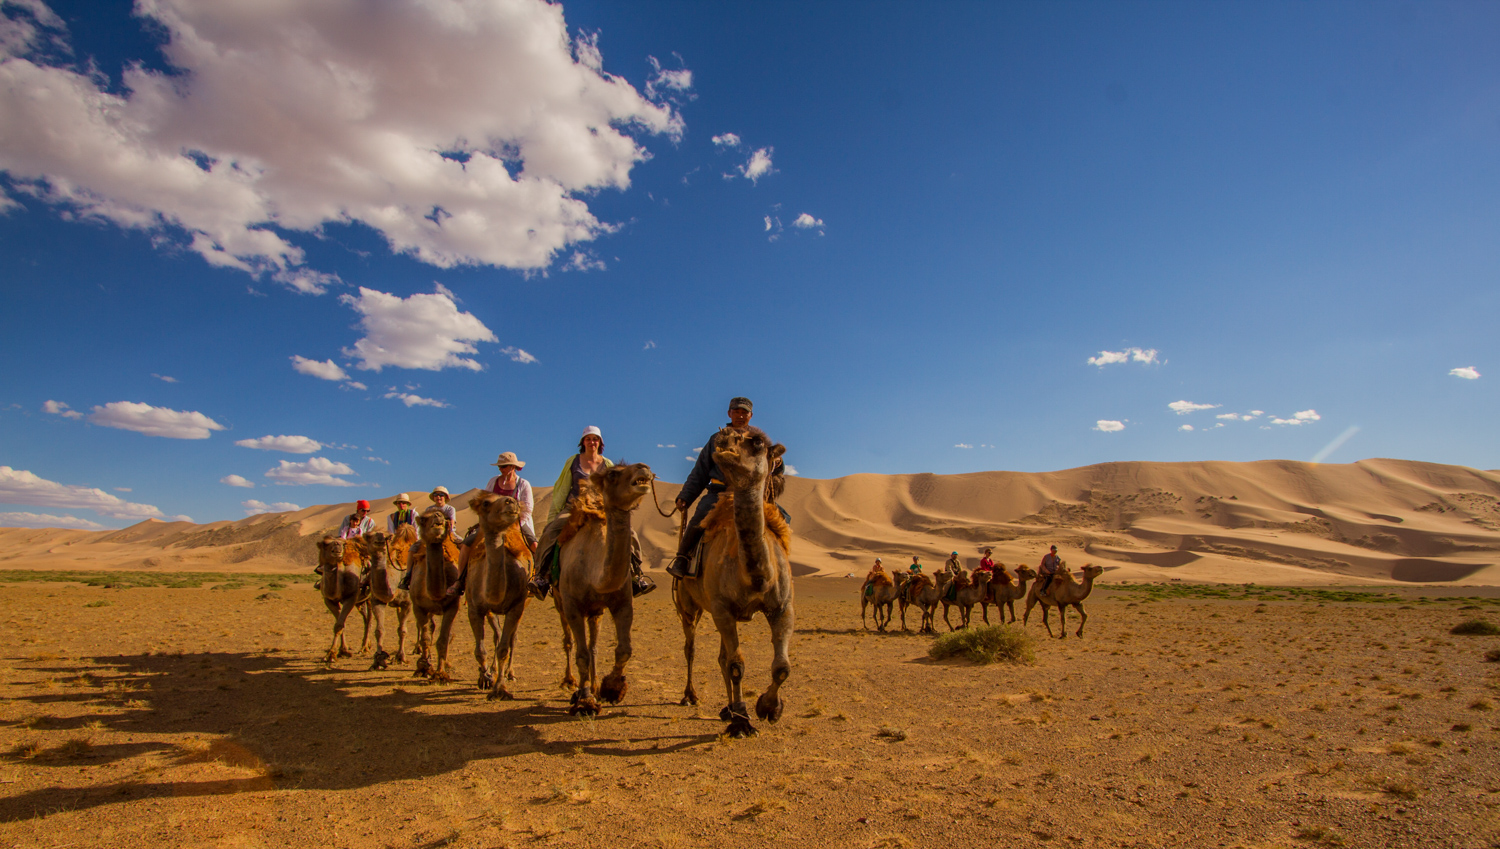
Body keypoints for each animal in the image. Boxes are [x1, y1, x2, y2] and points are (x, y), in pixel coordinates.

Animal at [357, 534, 411, 672]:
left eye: (385, 536)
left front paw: (401, 657)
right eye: (369, 536)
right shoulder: (377, 601)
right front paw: (378, 660)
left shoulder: (407, 603)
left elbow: (402, 630)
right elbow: (379, 630)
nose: (380, 540)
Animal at [411, 513, 462, 687]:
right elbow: (425, 638)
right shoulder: (418, 606)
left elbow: (443, 640)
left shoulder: (452, 605)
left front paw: (441, 674)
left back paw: (446, 663)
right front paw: (424, 668)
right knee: (430, 628)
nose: (438, 516)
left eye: (446, 519)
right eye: (423, 519)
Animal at [471, 495, 537, 702]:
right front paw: (485, 677)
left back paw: (510, 673)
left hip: (524, 603)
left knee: (512, 639)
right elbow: (481, 650)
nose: (511, 502)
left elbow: (503, 649)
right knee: (497, 636)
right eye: (485, 502)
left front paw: (499, 688)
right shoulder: (475, 609)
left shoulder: (516, 607)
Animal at [546, 465, 651, 720]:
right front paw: (585, 702)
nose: (644, 468)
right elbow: (581, 654)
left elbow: (624, 649)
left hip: (596, 612)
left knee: (593, 645)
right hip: (560, 602)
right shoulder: (573, 607)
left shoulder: (622, 602)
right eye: (613, 474)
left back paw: (593, 686)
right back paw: (571, 684)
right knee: (569, 642)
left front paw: (610, 689)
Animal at [675, 426, 798, 738]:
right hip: (689, 605)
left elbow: (781, 666)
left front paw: (769, 708)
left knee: (721, 656)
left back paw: (726, 709)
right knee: (691, 648)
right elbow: (737, 665)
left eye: (756, 443)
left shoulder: (782, 608)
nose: (723, 440)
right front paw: (742, 721)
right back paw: (691, 696)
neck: (755, 577)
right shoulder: (722, 608)